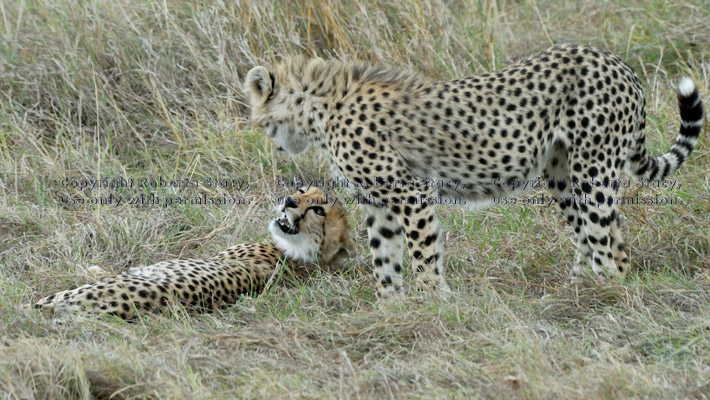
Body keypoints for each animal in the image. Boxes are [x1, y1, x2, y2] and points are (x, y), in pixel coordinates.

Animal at [34, 187, 356, 318]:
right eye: (302, 190)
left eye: (318, 210)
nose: (288, 200)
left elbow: (112, 268)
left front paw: (89, 265)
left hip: (58, 298)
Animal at [245, 45, 708, 298]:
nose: (271, 141)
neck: (319, 107)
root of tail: (614, 59)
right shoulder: (378, 203)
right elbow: (384, 257)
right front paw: (390, 307)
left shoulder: (411, 192)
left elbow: (422, 254)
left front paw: (433, 302)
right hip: (561, 174)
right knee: (600, 236)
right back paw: (580, 286)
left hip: (592, 170)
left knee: (610, 243)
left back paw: (604, 293)